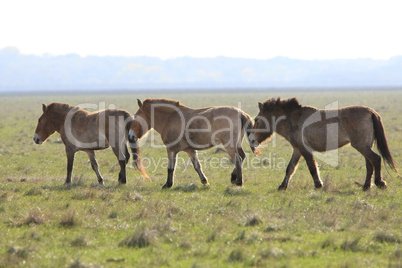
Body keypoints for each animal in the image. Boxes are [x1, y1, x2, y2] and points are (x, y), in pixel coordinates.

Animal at [250, 98, 398, 191]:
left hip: (361, 146)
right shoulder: (297, 149)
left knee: (376, 159)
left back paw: (379, 183)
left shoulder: (304, 149)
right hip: (365, 146)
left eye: (256, 119)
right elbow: (290, 168)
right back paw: (366, 186)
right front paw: (282, 186)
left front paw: (318, 185)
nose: (251, 140)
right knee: (370, 164)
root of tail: (371, 112)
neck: (293, 119)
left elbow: (312, 167)